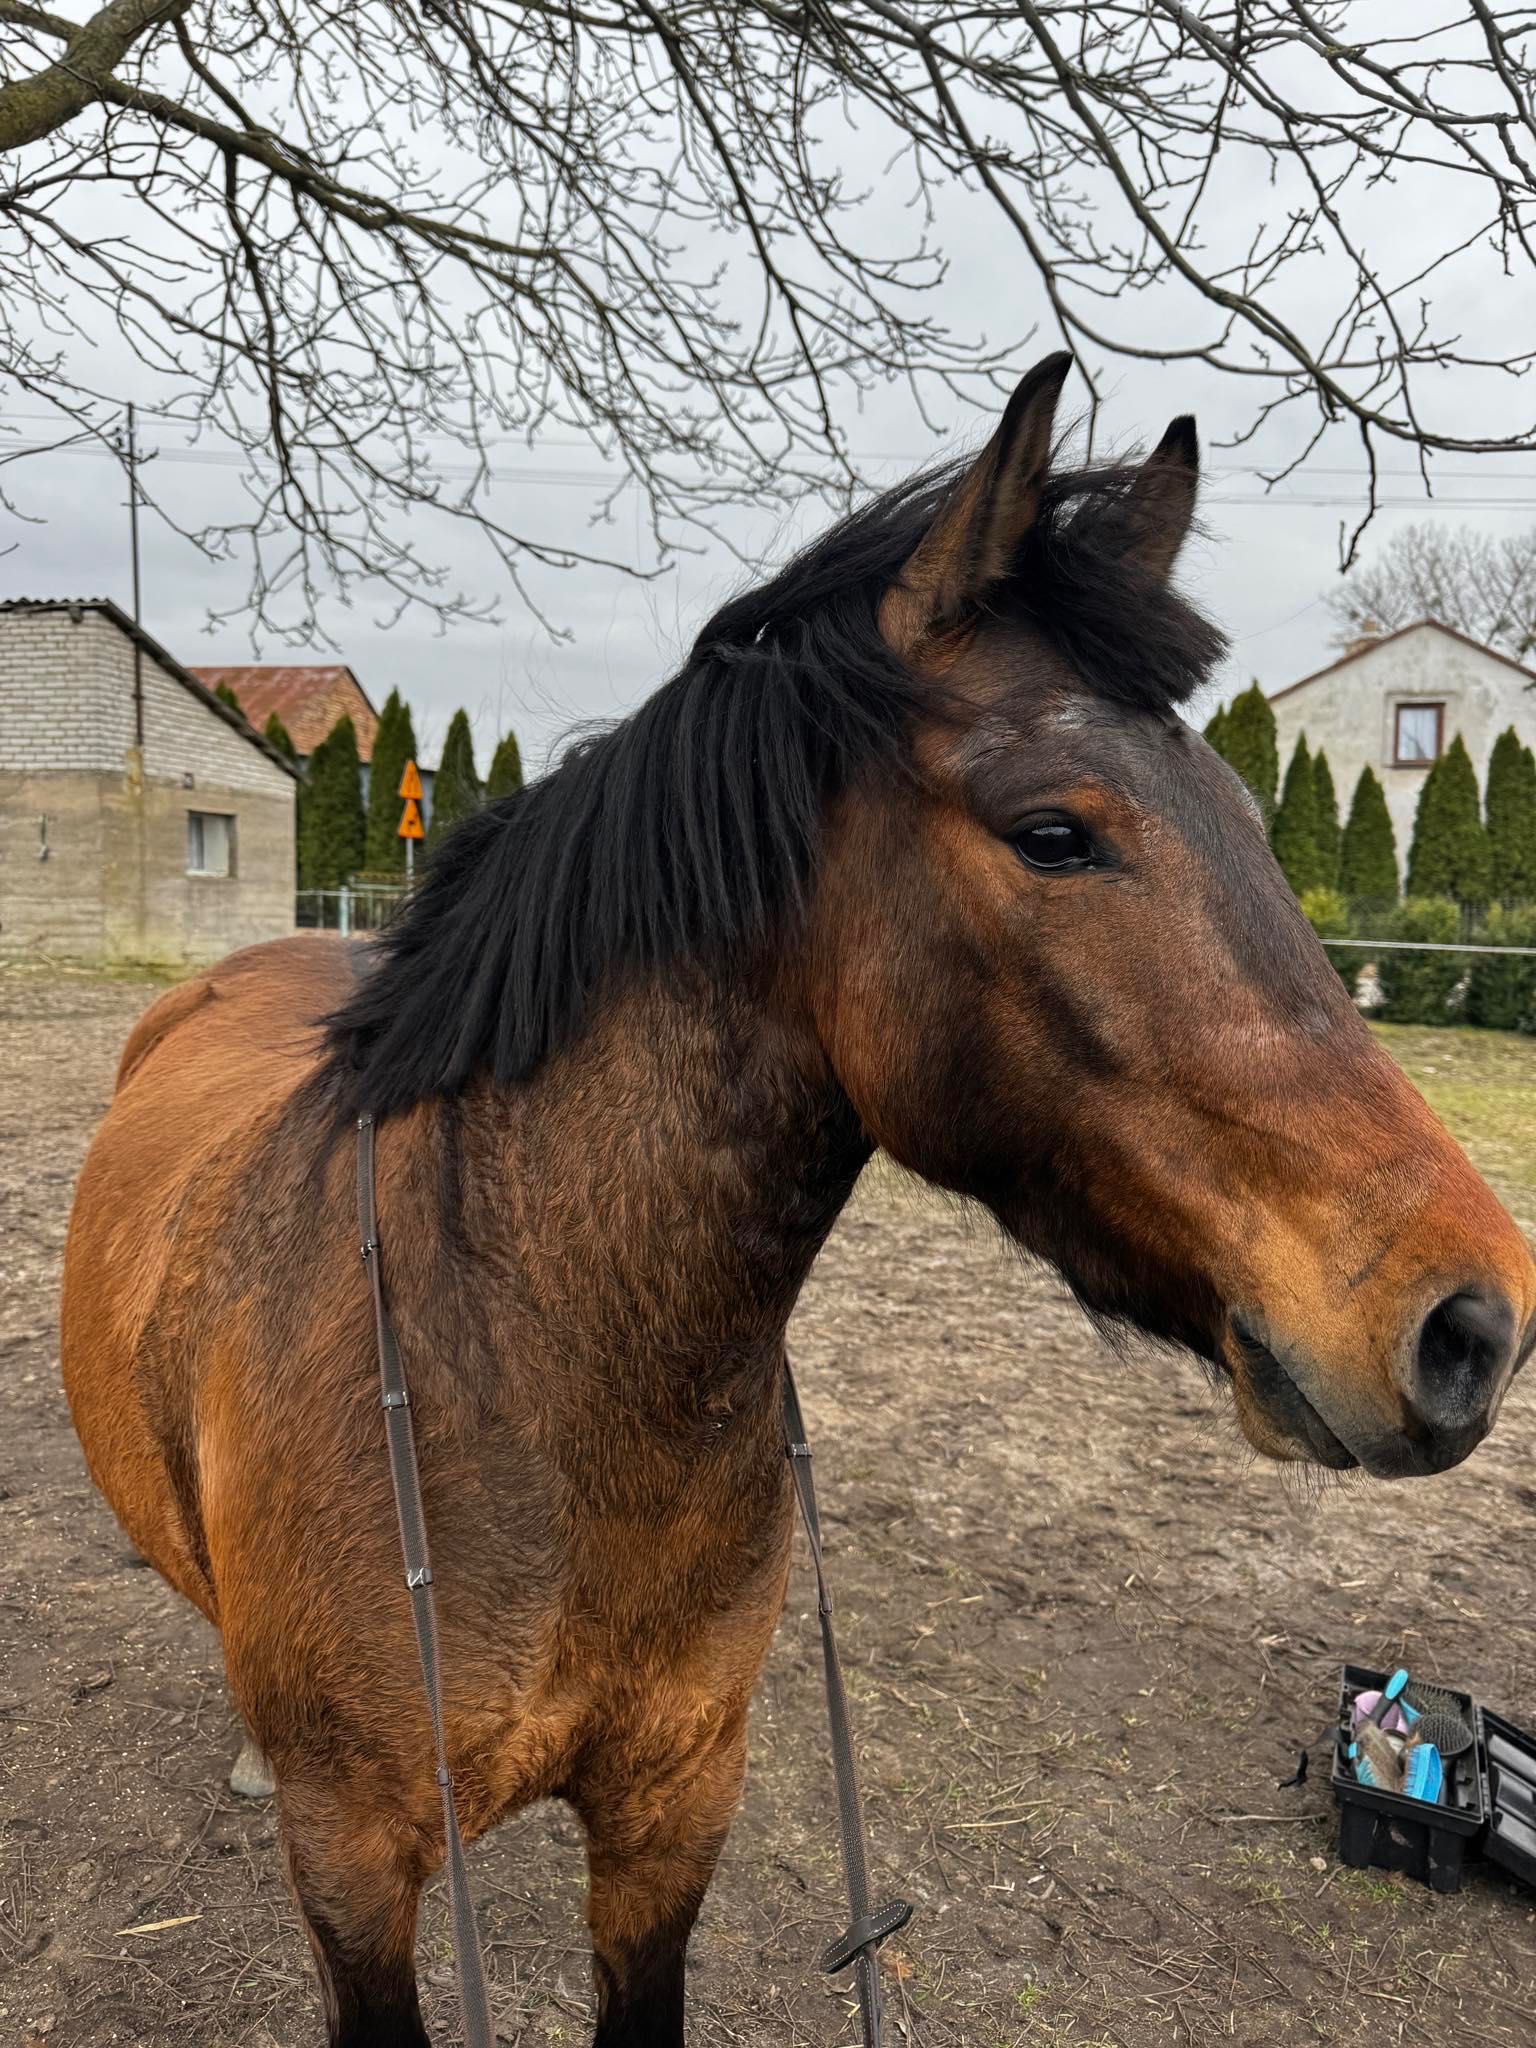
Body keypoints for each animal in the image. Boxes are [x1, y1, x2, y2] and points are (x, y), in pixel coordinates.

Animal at [60, 352, 1536, 2048]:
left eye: (1243, 813)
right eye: (1055, 833)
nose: (1473, 1320)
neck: (510, 1372)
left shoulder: (671, 1817)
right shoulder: (360, 1878)